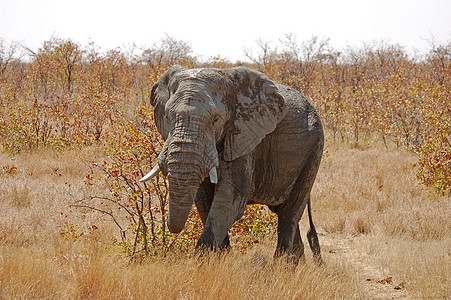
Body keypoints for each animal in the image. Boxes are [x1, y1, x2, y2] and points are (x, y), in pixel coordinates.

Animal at [141, 65, 324, 262]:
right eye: (168, 116)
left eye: (216, 120)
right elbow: (204, 200)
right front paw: (221, 259)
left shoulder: (245, 138)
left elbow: (230, 198)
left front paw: (200, 264)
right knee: (284, 212)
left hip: (314, 150)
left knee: (289, 214)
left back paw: (281, 265)